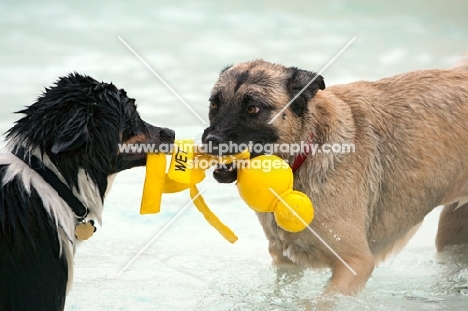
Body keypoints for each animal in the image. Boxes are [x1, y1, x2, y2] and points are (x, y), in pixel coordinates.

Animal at [202, 57, 468, 296]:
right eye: (214, 104)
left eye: (253, 108)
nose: (211, 141)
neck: (306, 151)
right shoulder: (286, 263)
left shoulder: (355, 265)